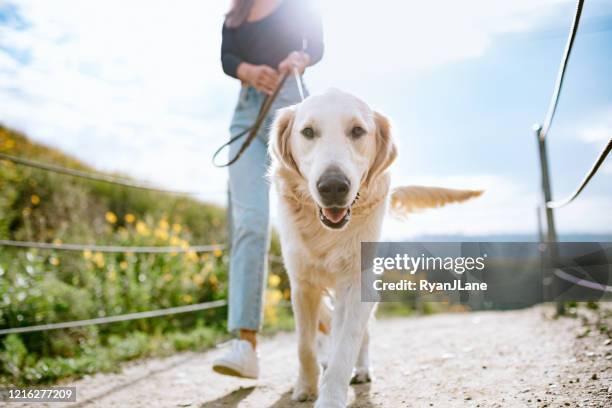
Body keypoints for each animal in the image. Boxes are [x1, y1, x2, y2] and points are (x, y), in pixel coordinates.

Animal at [270, 90, 480, 408]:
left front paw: (330, 397)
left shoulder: (358, 284)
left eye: (357, 131)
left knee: (361, 335)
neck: (327, 233)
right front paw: (305, 386)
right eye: (308, 132)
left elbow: (345, 346)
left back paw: (361, 370)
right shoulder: (302, 285)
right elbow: (304, 344)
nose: (333, 186)